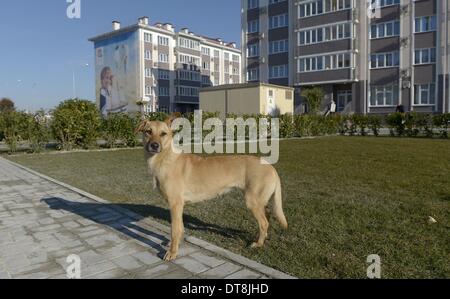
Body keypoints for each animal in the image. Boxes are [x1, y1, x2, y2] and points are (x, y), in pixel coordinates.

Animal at [135, 115, 288, 262]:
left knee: (264, 223)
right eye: (148, 132)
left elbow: (174, 230)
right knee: (267, 218)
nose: (154, 145)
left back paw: (258, 244)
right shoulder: (179, 206)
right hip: (259, 201)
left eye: (163, 134)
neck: (165, 159)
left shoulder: (175, 204)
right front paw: (176, 243)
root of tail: (270, 165)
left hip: (253, 202)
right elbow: (180, 228)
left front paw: (172, 252)